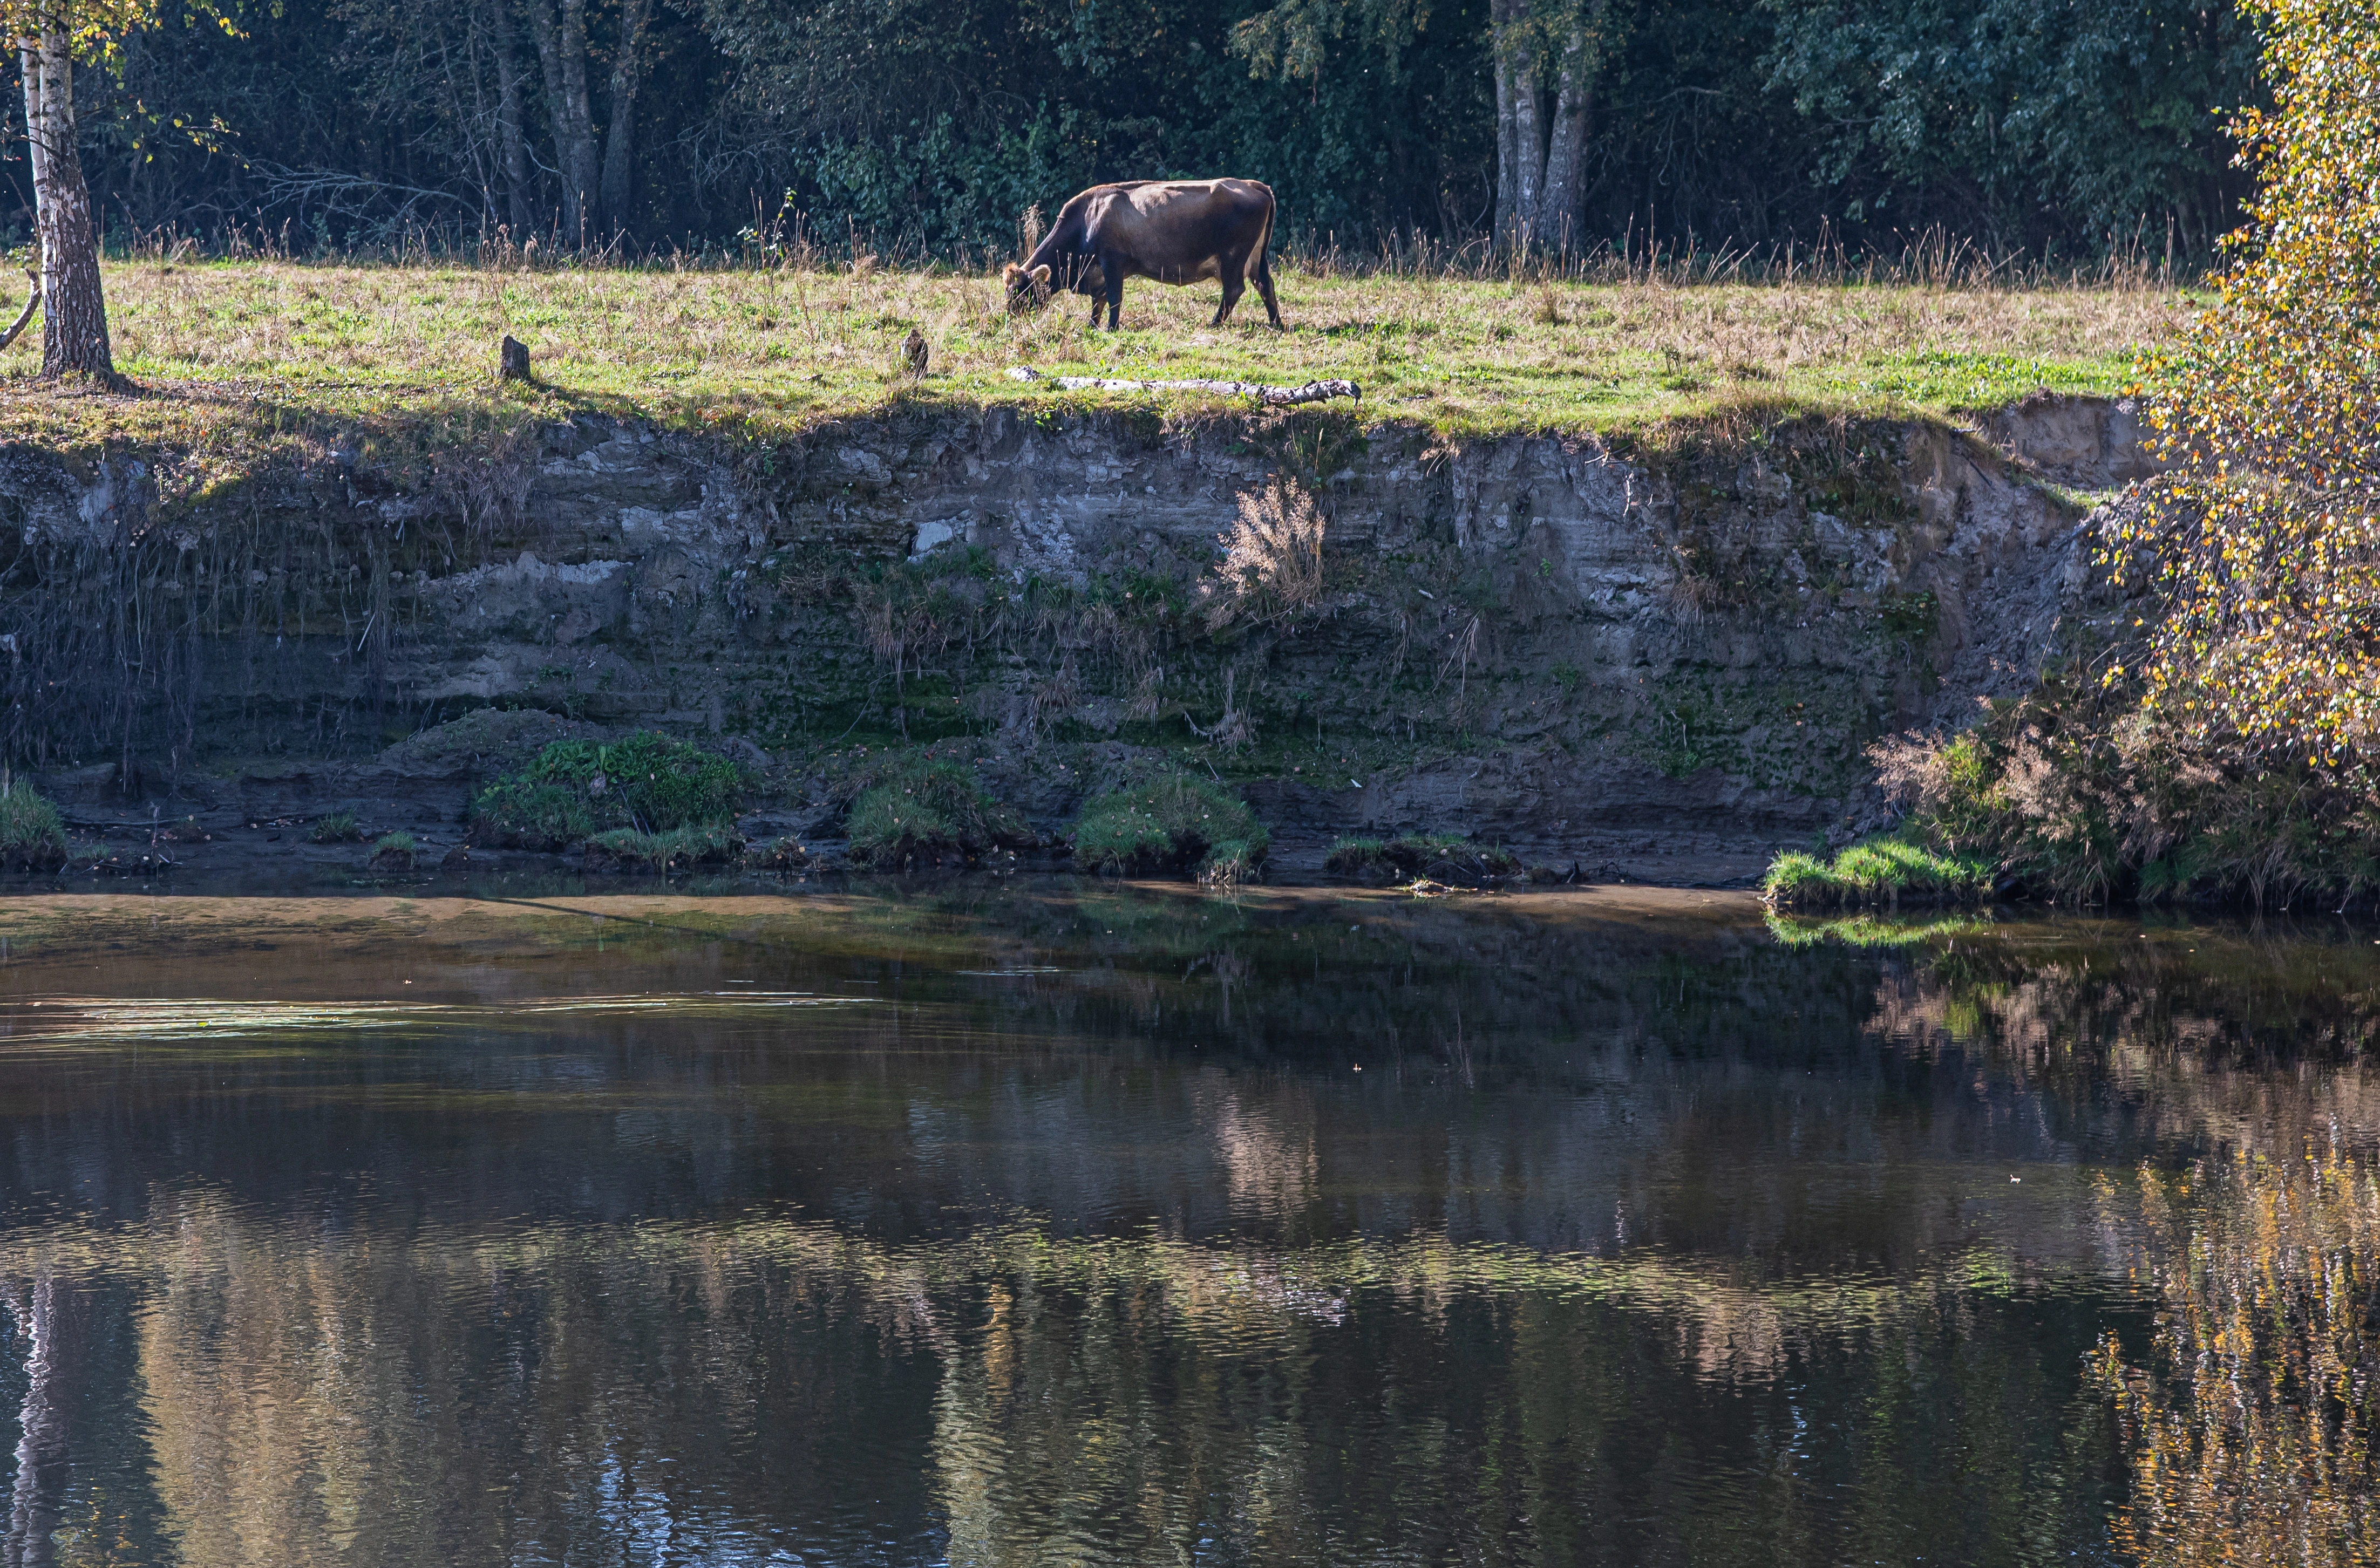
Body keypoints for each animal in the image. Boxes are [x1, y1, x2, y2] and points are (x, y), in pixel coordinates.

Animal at [1004, 179, 1285, 330]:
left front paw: (1111, 327)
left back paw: (1214, 323)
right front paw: (1092, 326)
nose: (1009, 314)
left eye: (1020, 290)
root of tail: (1253, 185)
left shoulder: (1113, 261)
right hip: (1255, 258)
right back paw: (1276, 324)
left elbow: (1114, 297)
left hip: (1233, 256)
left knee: (1234, 289)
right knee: (1265, 285)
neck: (1087, 219)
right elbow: (1099, 301)